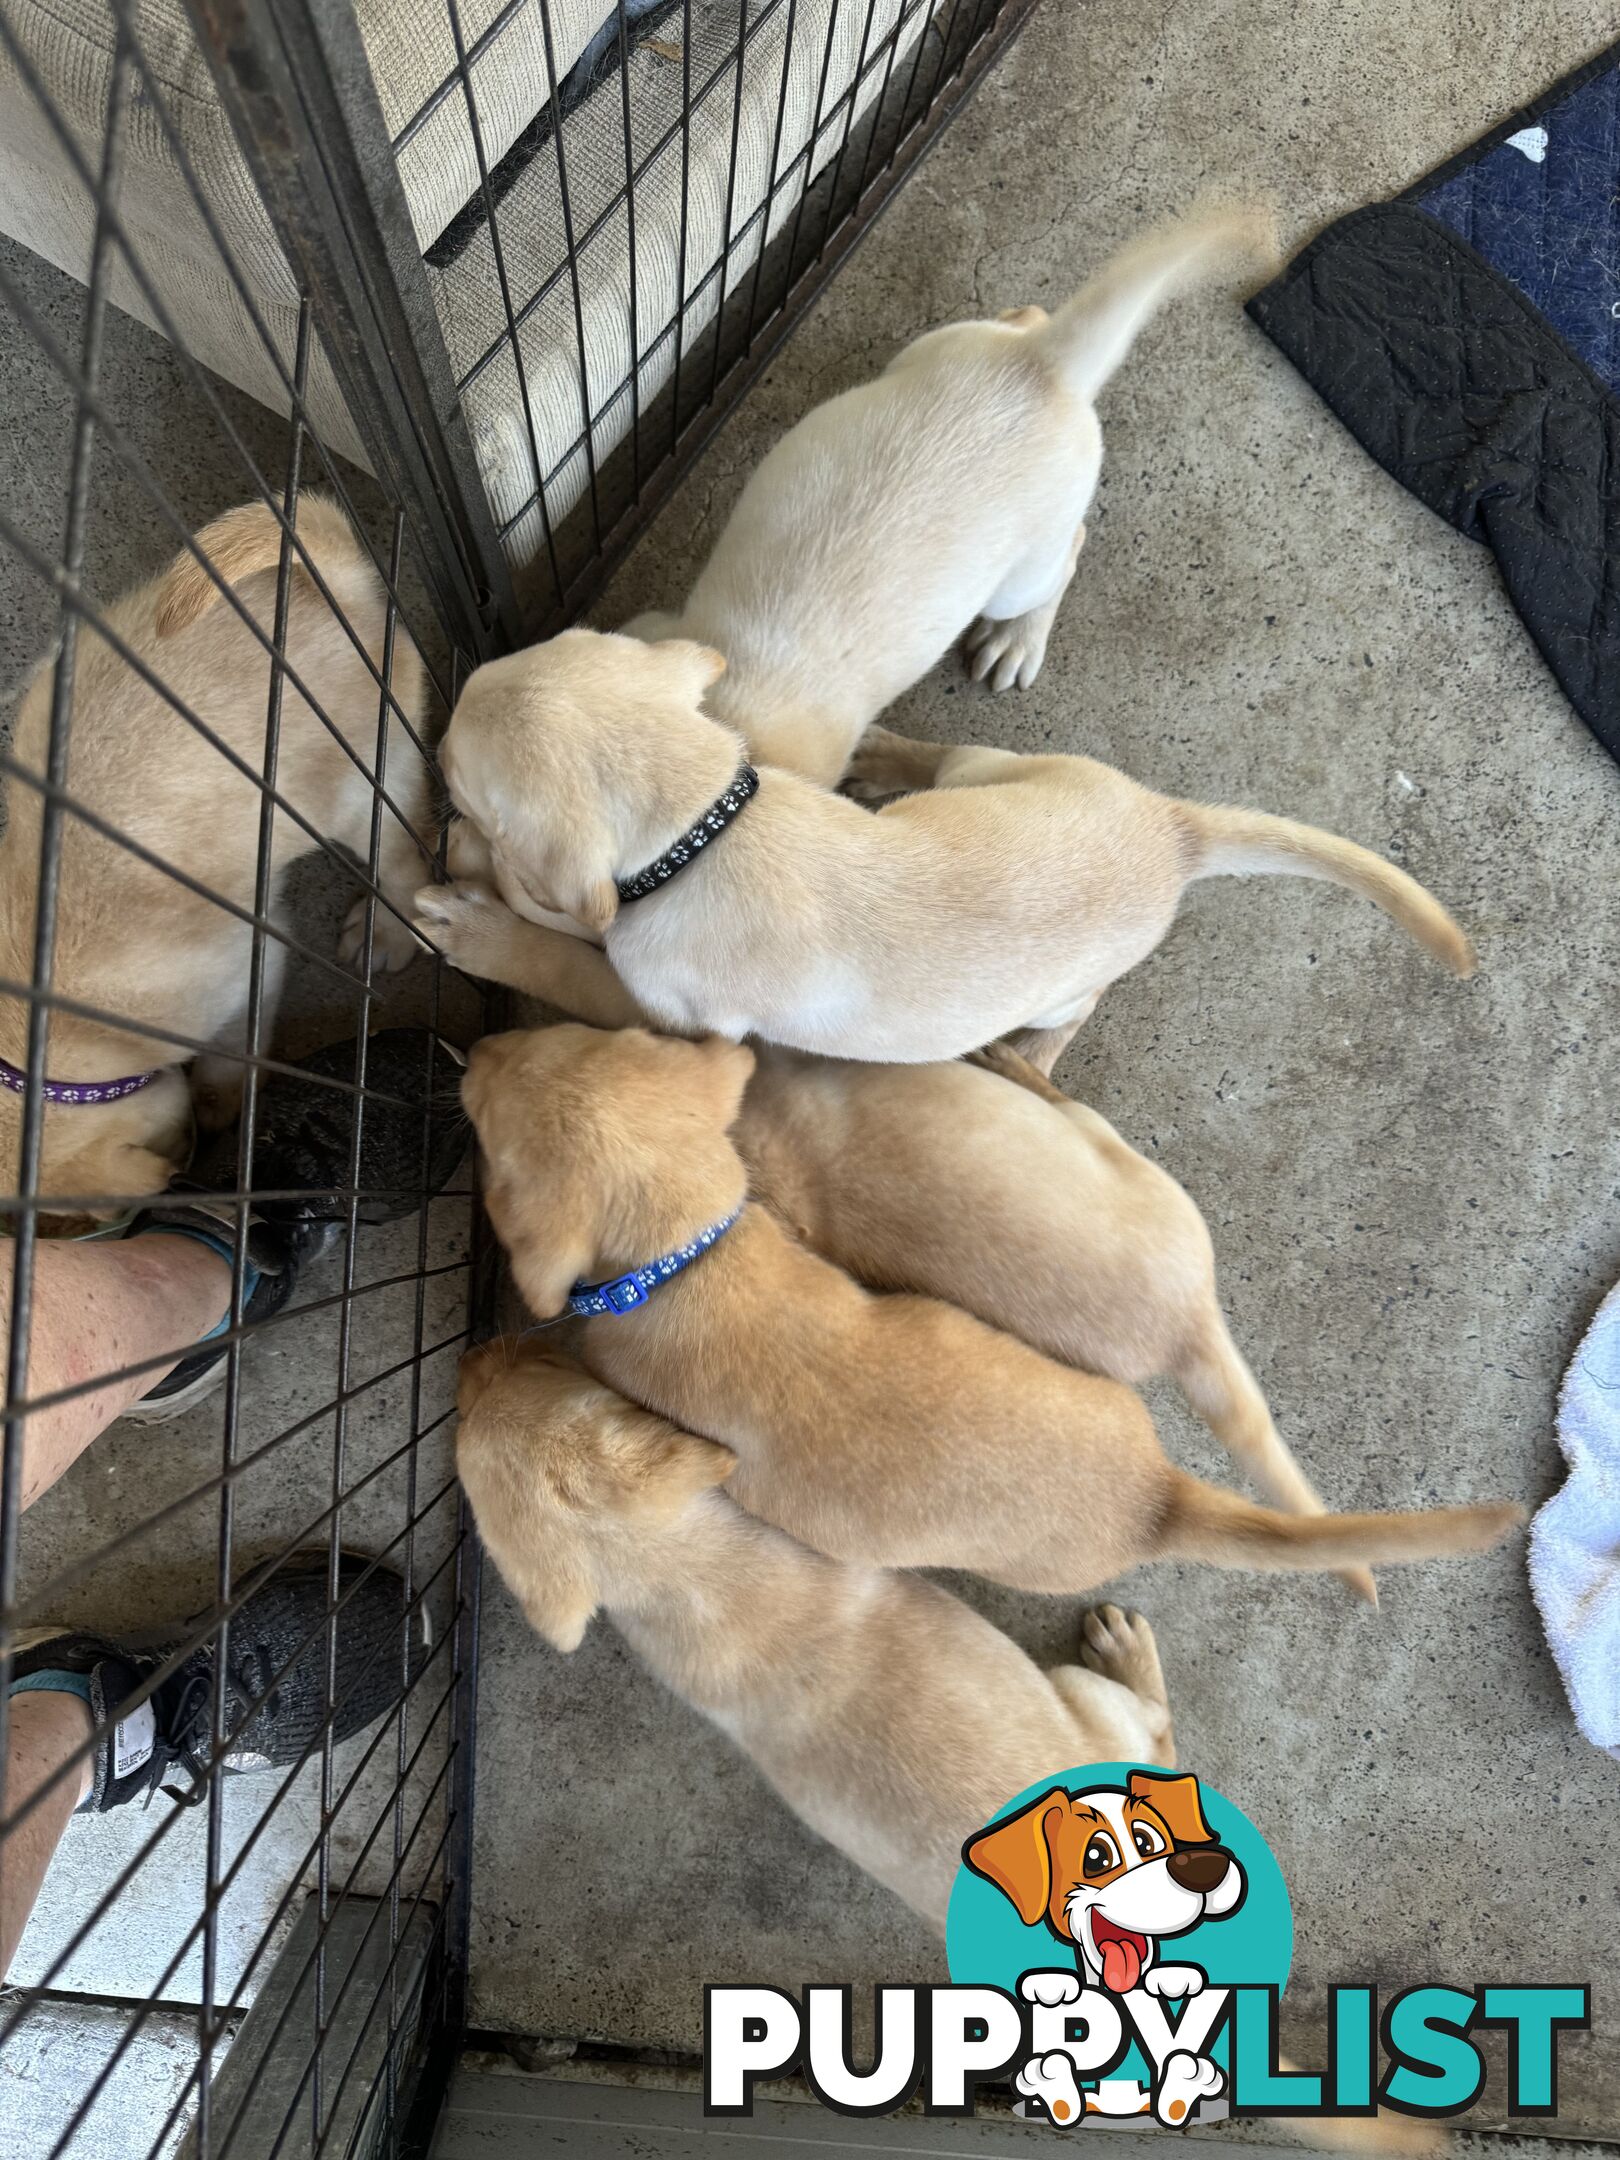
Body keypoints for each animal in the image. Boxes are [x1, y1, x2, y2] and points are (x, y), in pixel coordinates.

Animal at [0, 494, 438, 1218]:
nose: (111, 1220)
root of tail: (330, 582)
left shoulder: (251, 968)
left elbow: (236, 1055)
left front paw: (220, 1100)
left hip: (357, 790)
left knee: (403, 853)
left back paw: (389, 929)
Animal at [460, 1028, 1520, 1607]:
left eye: (487, 1133)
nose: (476, 1047)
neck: (690, 1256)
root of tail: (1158, 1499)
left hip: (1113, 1162)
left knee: (1065, 1100)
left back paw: (1014, 1060)